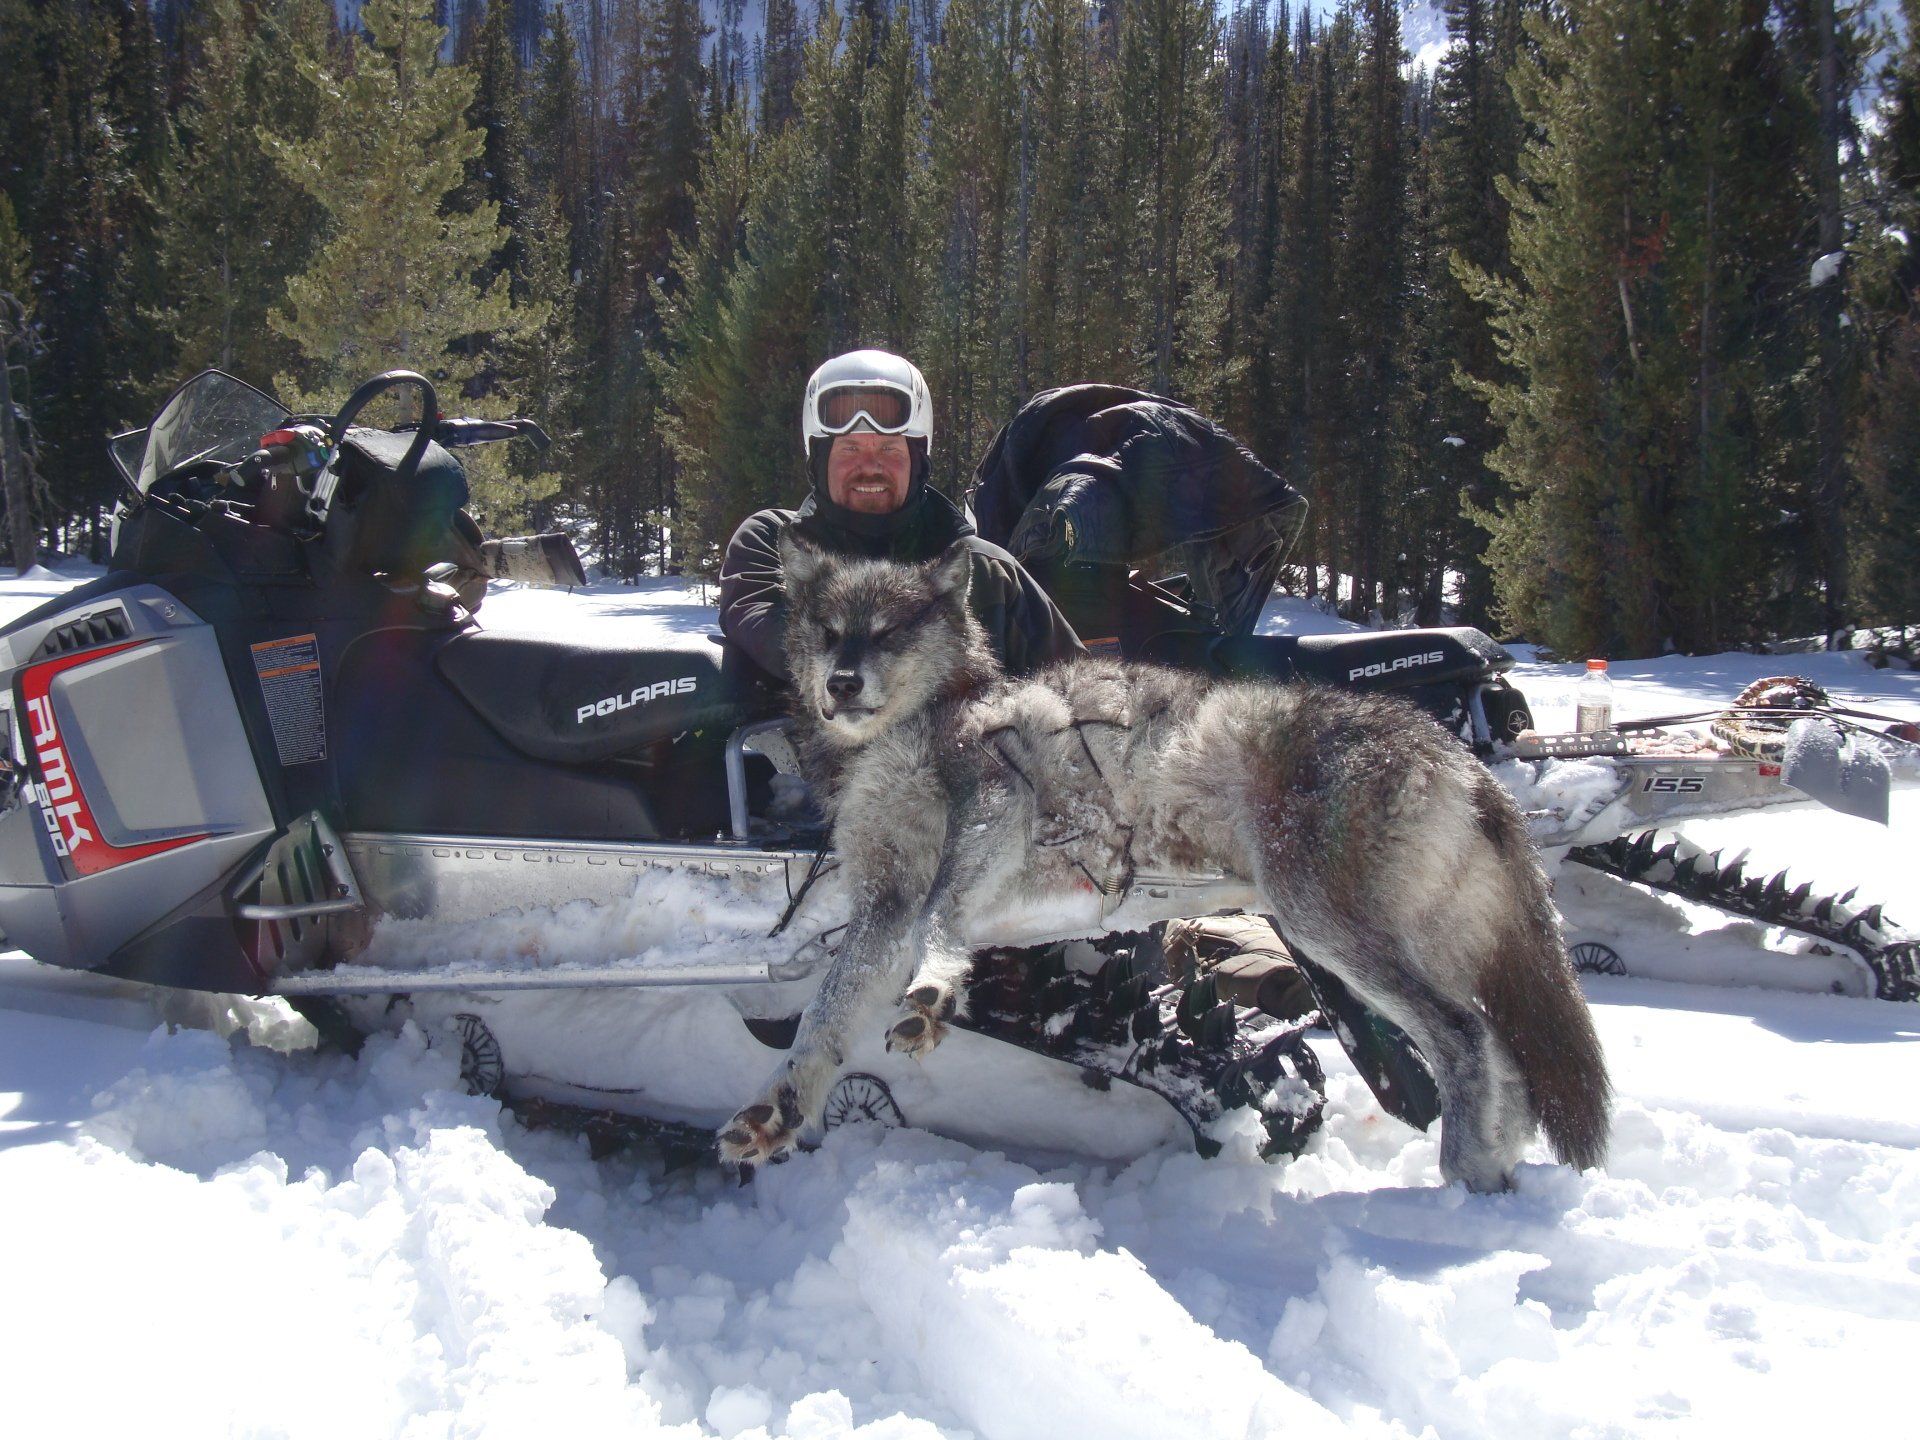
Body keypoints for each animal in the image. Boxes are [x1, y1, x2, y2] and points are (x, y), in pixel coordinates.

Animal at [717, 536, 1611, 1191]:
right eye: (829, 631)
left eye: (888, 632)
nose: (840, 683)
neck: (920, 723)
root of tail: (1455, 756)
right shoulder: (882, 905)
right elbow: (820, 1021)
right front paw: (780, 1111)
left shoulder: (993, 807)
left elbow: (939, 925)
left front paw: (934, 990)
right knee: (1504, 1053)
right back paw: (1496, 1167)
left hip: (1328, 931)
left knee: (1467, 1038)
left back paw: (1464, 1174)